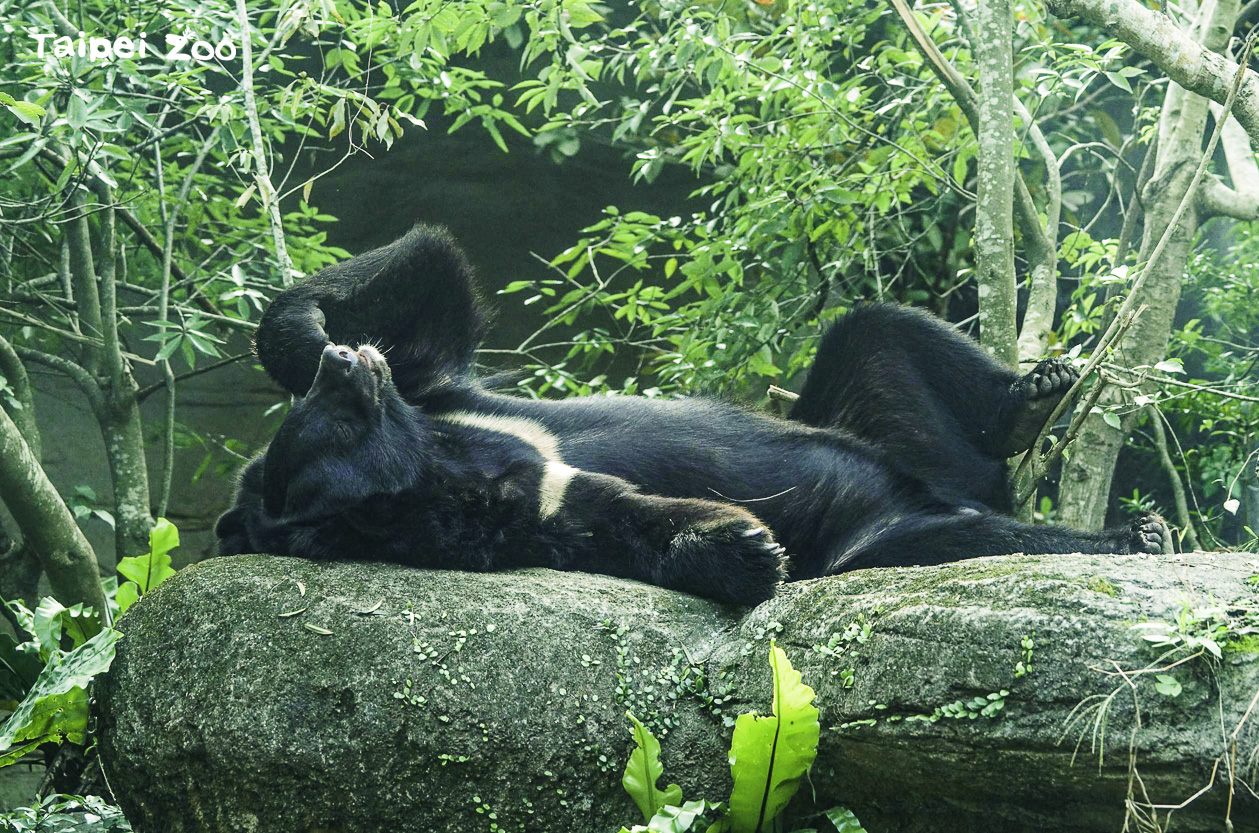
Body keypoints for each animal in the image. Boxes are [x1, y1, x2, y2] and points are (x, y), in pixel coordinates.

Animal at [219, 226, 1168, 606]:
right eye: (339, 420)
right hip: (887, 526)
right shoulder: (522, 509)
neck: (440, 454)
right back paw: (1128, 533)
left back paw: (1033, 401)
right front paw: (746, 548)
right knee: (949, 536)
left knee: (878, 331)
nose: (350, 366)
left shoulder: (457, 402)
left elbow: (433, 298)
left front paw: (308, 331)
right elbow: (615, 519)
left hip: (886, 417)